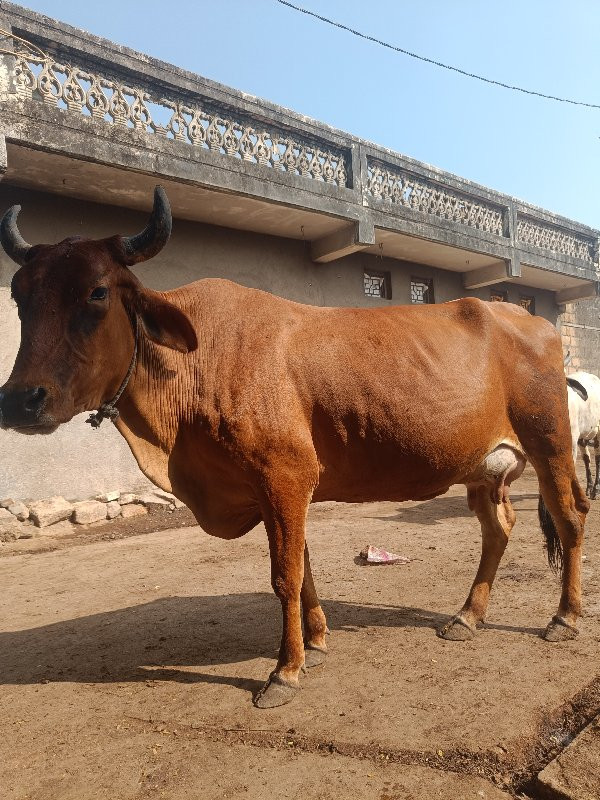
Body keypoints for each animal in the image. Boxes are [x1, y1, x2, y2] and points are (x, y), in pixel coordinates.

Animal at [0, 188, 592, 708]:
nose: (21, 400)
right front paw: (317, 640)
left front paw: (285, 671)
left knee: (570, 517)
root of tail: (530, 319)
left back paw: (564, 617)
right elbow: (303, 566)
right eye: (19, 296)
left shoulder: (284, 477)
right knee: (499, 529)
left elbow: (283, 575)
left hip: (550, 444)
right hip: (481, 468)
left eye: (97, 293)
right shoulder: (277, 490)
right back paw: (468, 616)